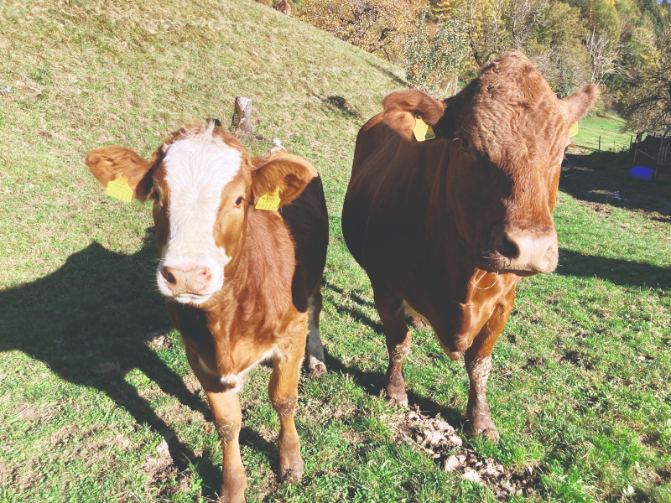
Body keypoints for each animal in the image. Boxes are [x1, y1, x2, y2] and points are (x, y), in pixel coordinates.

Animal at [87, 123, 330, 503]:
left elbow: (284, 399)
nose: (186, 274)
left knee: (317, 305)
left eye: (239, 199)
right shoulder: (199, 355)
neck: (227, 318)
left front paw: (291, 460)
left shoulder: (291, 335)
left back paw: (317, 358)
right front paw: (232, 486)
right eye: (157, 196)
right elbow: (227, 423)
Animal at [342, 51, 600, 440]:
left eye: (564, 151)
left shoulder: (504, 302)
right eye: (465, 143)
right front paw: (395, 391)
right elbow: (398, 342)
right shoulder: (385, 284)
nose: (530, 247)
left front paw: (480, 420)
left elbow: (480, 363)